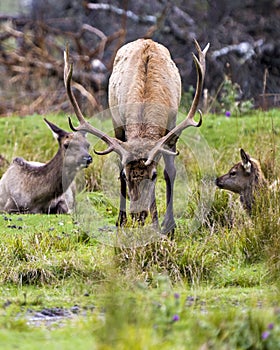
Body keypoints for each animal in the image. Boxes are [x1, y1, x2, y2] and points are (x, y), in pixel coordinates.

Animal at [64, 38, 209, 234]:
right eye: (126, 176)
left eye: (154, 175)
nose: (138, 214)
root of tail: (146, 40)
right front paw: (151, 224)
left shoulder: (171, 128)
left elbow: (170, 172)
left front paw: (168, 226)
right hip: (116, 122)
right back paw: (121, 219)